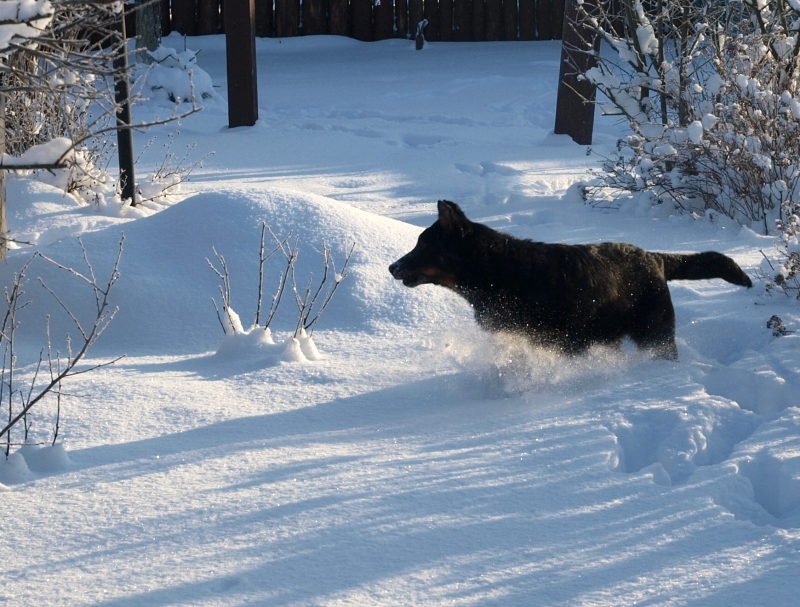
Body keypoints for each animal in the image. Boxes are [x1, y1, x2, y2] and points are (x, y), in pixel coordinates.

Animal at [390, 200, 752, 360]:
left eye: (423, 245)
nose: (392, 267)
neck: (498, 271)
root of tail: (655, 258)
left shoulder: (562, 342)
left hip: (655, 334)